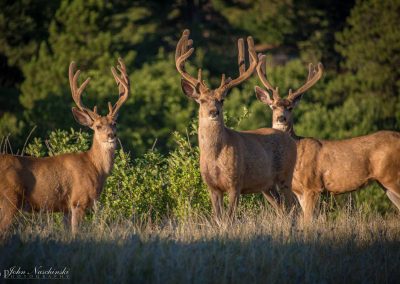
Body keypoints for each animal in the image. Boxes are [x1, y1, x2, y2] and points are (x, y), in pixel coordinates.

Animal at [0, 57, 129, 235]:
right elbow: (76, 233)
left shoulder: (65, 209)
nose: (111, 135)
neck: (96, 168)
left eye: (114, 123)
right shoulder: (78, 201)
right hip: (9, 199)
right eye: (97, 126)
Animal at [175, 30, 296, 222]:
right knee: (282, 208)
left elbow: (229, 219)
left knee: (293, 207)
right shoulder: (212, 187)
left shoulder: (235, 183)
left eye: (222, 100)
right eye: (201, 100)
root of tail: (290, 139)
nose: (213, 112)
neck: (215, 156)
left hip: (286, 175)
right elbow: (217, 218)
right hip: (267, 186)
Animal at [255, 53, 398, 222]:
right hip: (386, 184)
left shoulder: (312, 186)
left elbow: (308, 222)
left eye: (290, 108)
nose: (280, 118)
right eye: (273, 106)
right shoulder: (300, 191)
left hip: (393, 176)